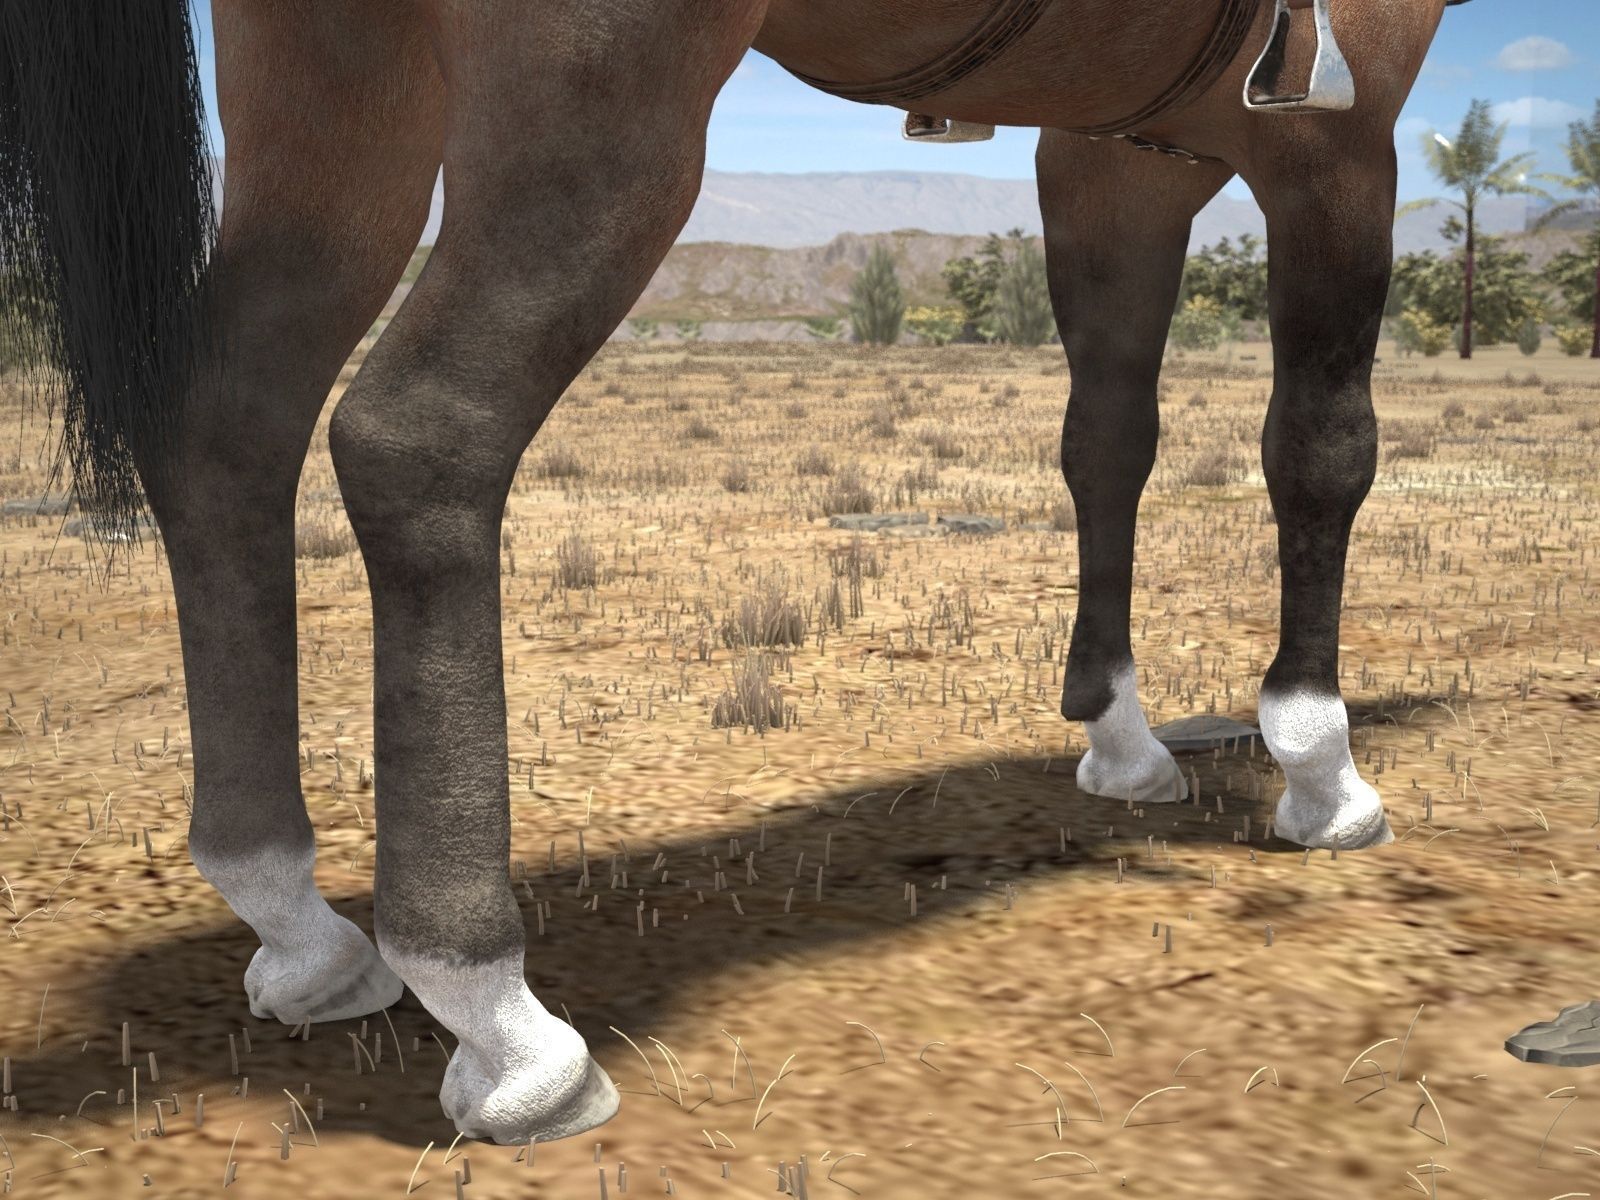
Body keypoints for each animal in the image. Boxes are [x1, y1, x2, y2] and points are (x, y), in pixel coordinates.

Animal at [1, 0, 1469, 1147]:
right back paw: (503, 1022)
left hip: (337, 104)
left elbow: (1108, 434)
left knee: (227, 429)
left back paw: (294, 922)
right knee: (419, 442)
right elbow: (1320, 449)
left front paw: (1119, 735)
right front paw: (1320, 766)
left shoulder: (1115, 154)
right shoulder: (1336, 138)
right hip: (597, 114)